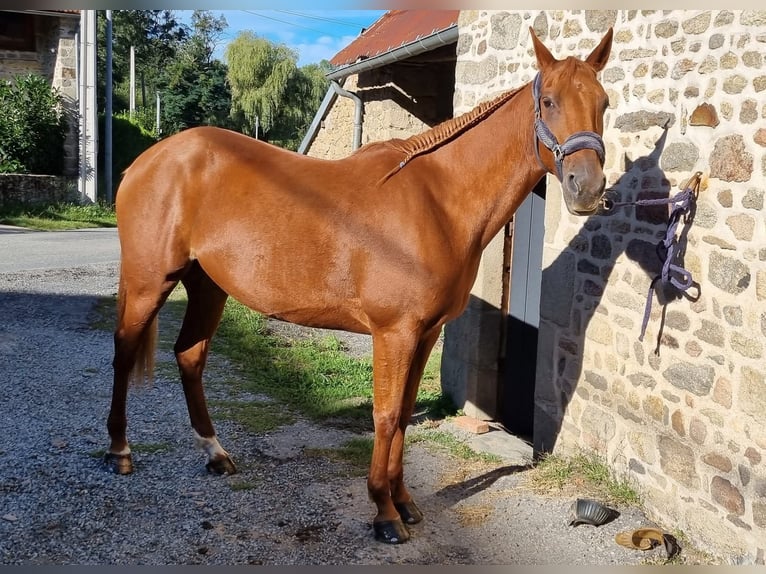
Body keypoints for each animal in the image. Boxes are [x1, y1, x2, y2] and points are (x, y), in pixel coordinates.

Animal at [105, 27, 613, 544]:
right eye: (548, 101)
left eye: (603, 102)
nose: (587, 187)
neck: (437, 201)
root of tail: (146, 161)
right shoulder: (394, 332)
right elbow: (385, 415)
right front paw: (384, 513)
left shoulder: (425, 333)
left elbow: (405, 413)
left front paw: (405, 502)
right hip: (149, 282)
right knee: (124, 351)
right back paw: (119, 452)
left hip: (208, 287)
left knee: (190, 356)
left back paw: (215, 454)